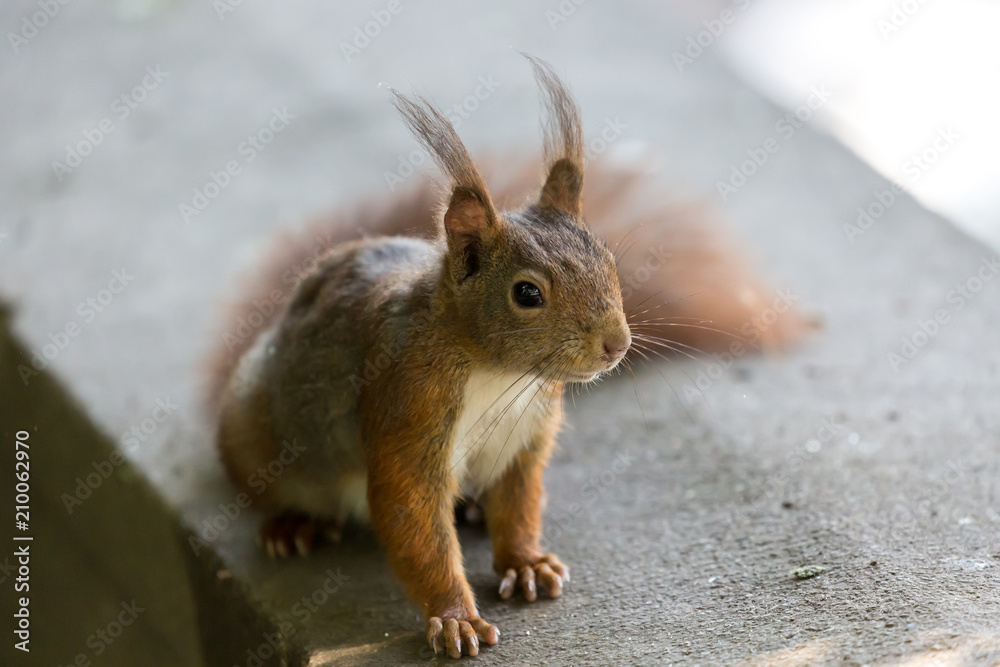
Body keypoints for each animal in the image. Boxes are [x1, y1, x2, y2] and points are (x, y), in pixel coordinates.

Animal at [209, 56, 809, 659]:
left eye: (609, 260)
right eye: (526, 293)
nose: (616, 344)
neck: (497, 371)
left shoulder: (525, 432)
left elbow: (519, 500)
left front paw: (526, 564)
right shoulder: (407, 406)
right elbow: (412, 516)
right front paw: (455, 618)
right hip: (254, 437)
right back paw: (292, 525)